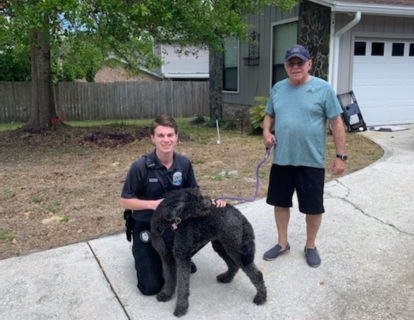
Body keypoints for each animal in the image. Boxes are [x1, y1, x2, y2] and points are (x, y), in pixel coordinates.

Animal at [150, 188, 266, 318]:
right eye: (199, 197)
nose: (210, 200)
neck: (168, 225)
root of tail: (239, 214)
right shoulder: (166, 257)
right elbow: (169, 278)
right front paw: (166, 294)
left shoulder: (182, 257)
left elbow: (182, 285)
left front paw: (181, 307)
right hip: (221, 245)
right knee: (233, 265)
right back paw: (226, 278)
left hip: (235, 248)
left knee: (256, 274)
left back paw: (261, 297)